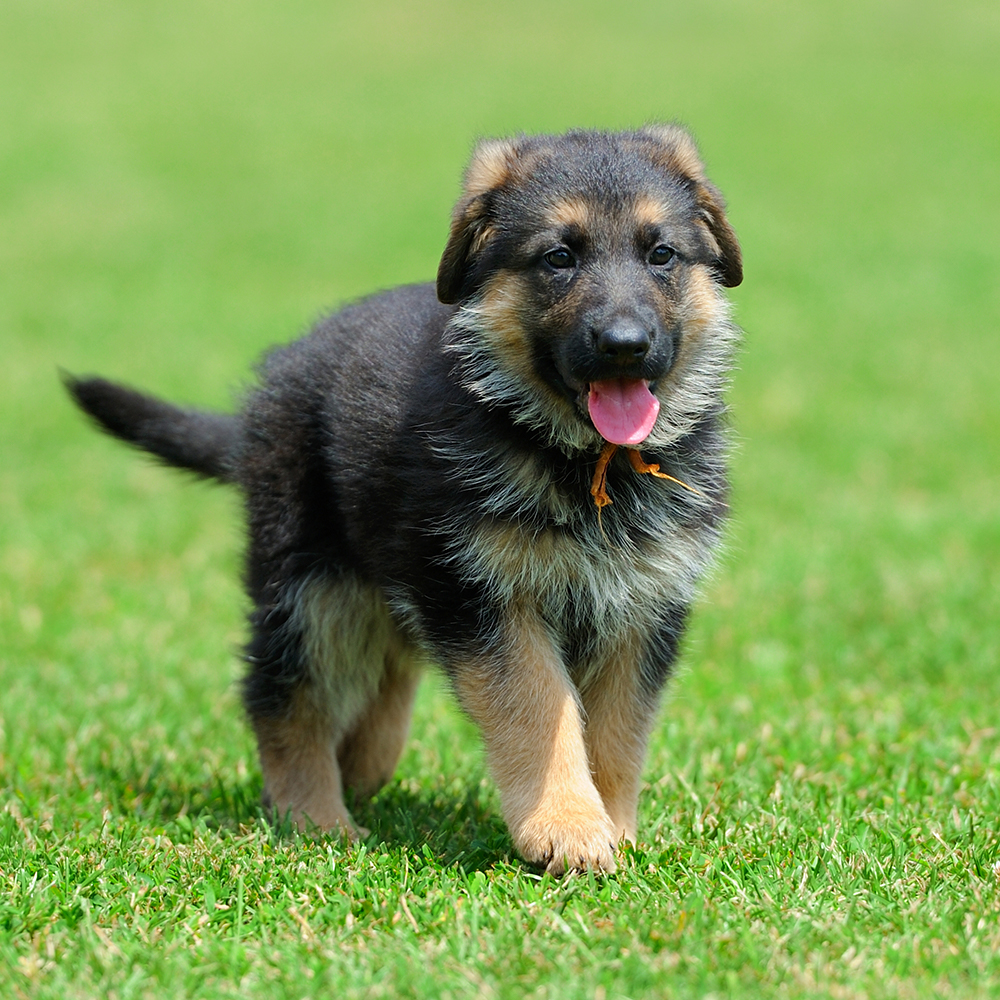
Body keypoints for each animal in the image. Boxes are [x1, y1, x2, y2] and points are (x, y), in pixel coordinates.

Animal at [66, 127, 740, 876]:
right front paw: (565, 826)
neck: (578, 457)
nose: (625, 346)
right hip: (310, 585)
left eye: (661, 255)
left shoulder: (643, 607)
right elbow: (540, 706)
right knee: (284, 694)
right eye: (559, 258)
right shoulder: (487, 595)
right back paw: (315, 816)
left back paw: (360, 766)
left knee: (387, 670)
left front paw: (613, 827)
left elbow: (620, 732)